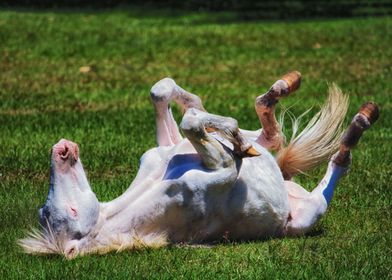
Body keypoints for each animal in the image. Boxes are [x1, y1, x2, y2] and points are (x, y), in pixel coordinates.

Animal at [19, 71, 378, 258]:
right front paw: (232, 134)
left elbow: (165, 93)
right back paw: (362, 118)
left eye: (43, 212)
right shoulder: (224, 168)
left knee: (269, 131)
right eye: (64, 213)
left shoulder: (160, 151)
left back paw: (285, 86)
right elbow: (193, 122)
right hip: (308, 214)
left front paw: (223, 127)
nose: (62, 149)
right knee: (333, 162)